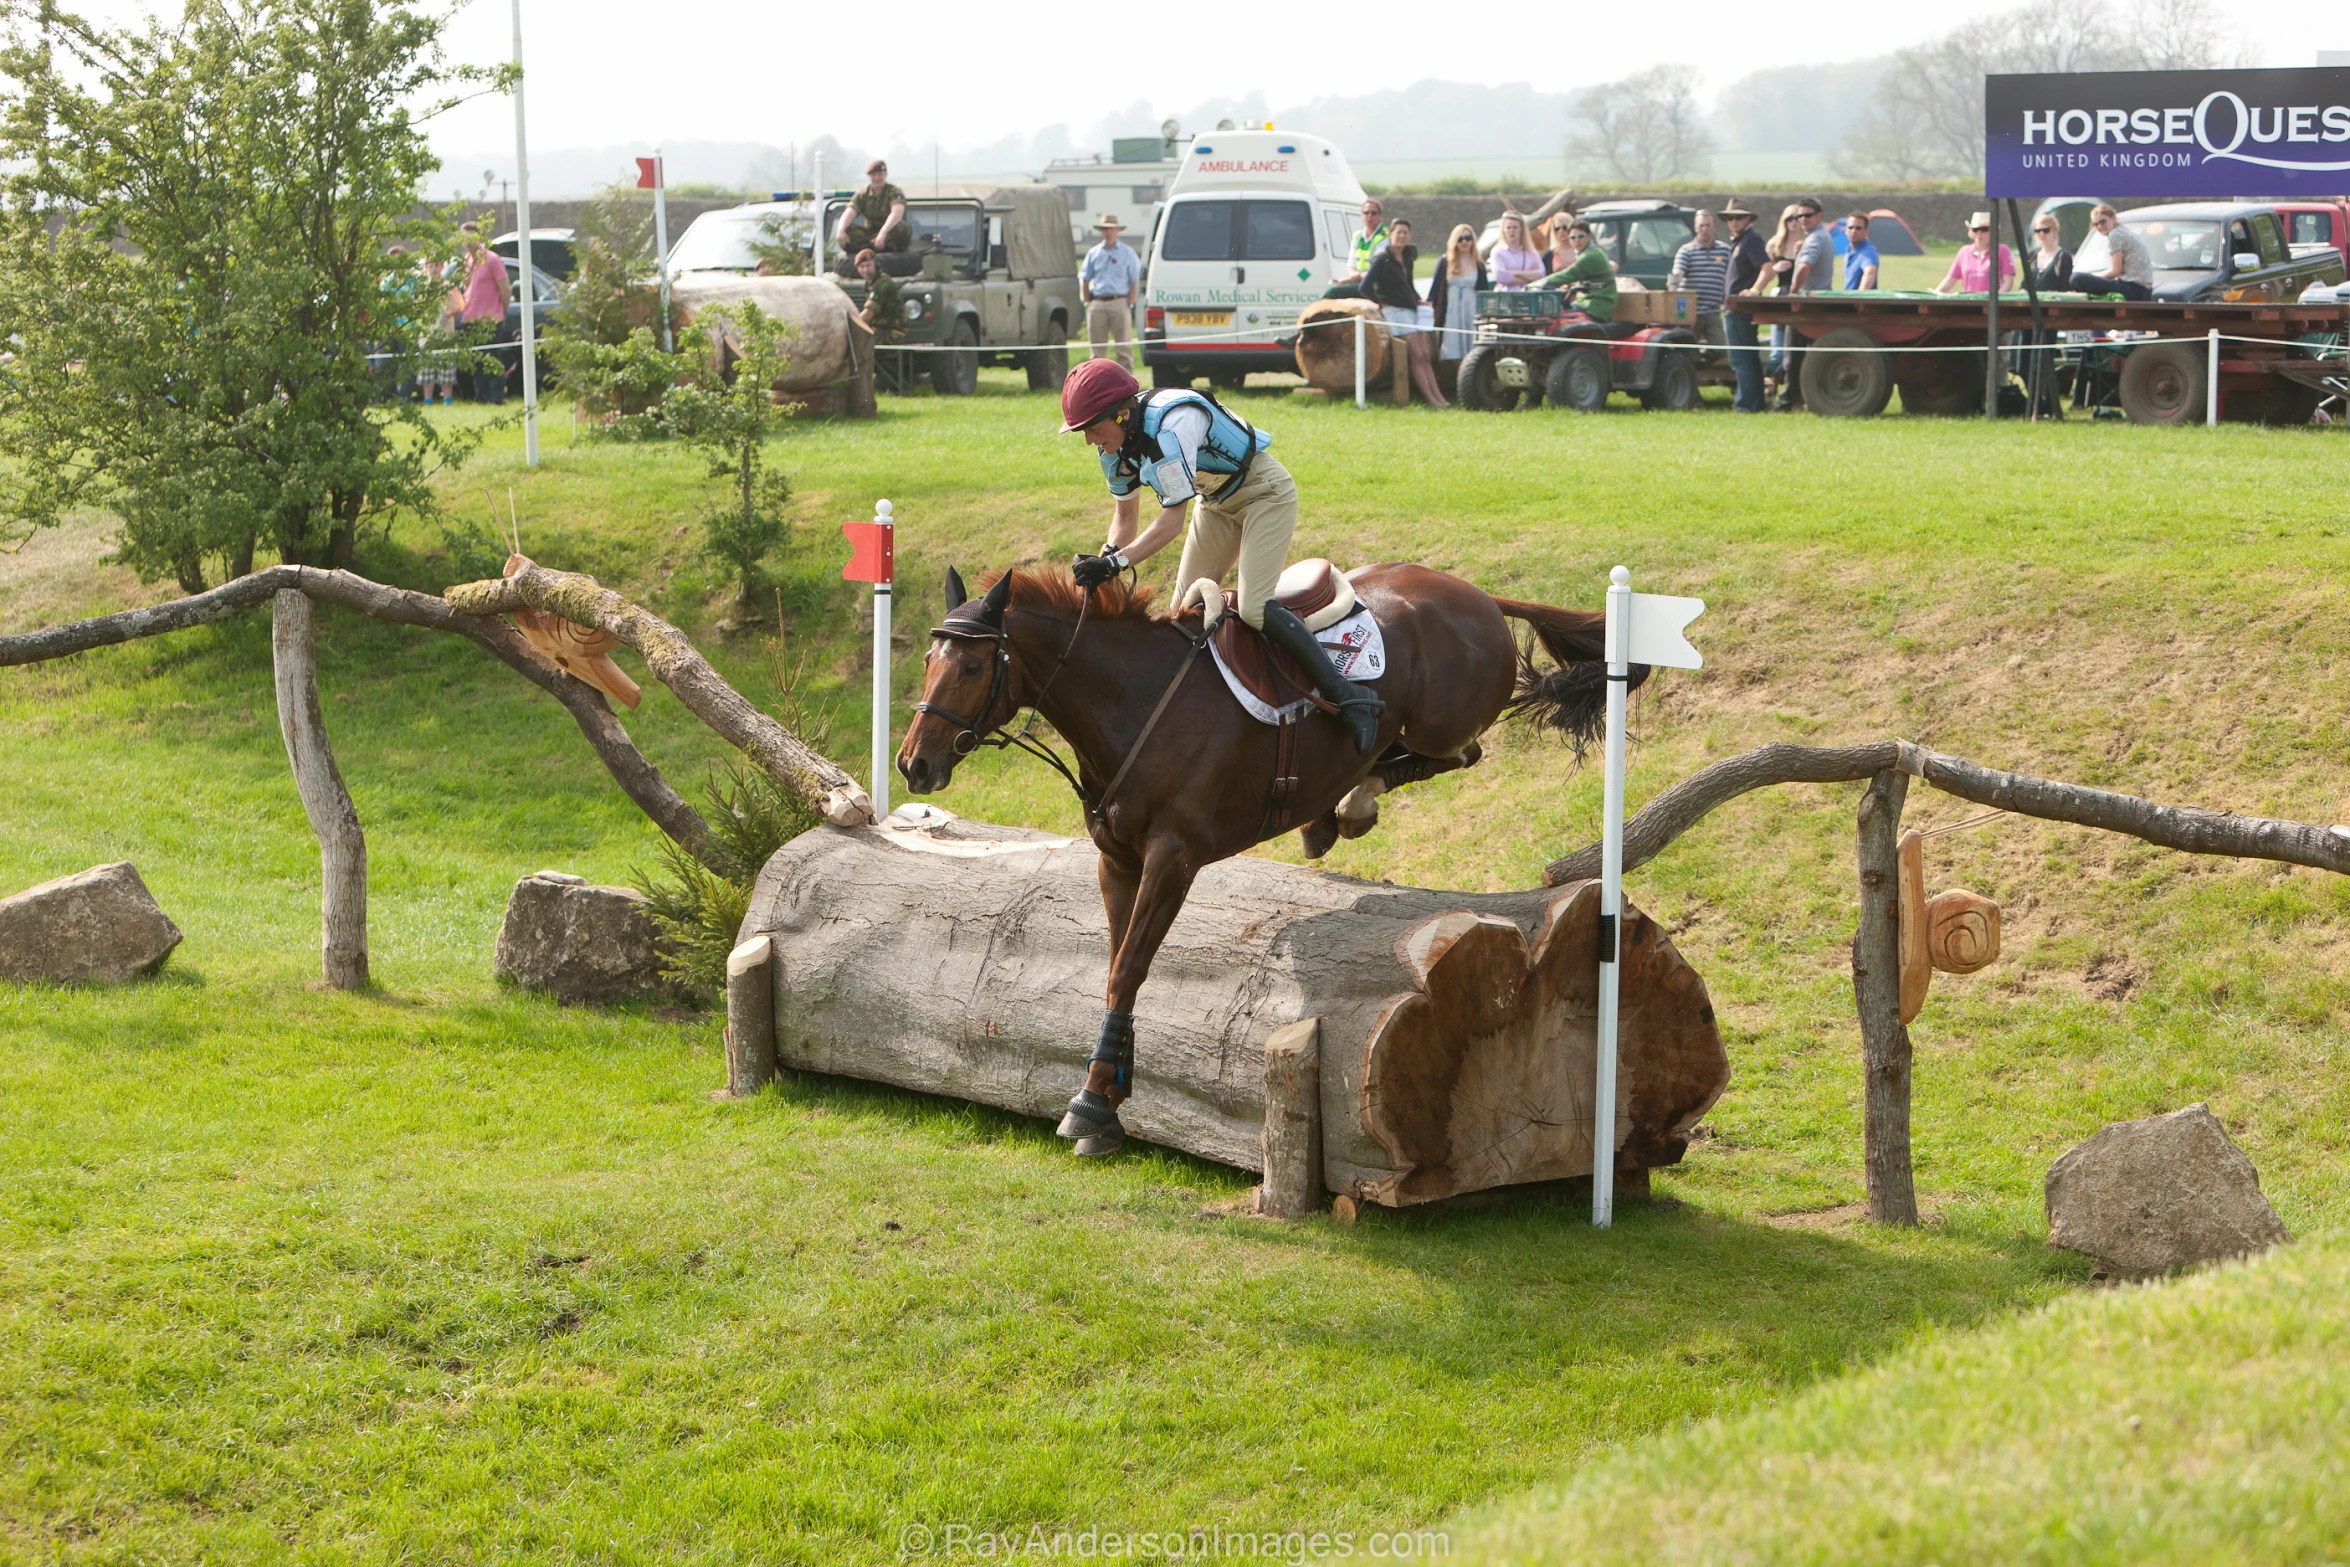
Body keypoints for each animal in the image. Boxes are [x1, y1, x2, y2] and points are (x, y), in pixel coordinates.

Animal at [888, 561, 1644, 1151]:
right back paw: (1336, 810)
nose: (913, 765)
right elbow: (1114, 969)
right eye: (927, 660)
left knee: (1458, 750)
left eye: (973, 664)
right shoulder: (1117, 859)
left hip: (1444, 716)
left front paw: (1092, 1105)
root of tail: (1477, 594)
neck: (1132, 702)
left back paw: (1352, 797)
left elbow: (1129, 968)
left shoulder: (1173, 857)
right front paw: (1111, 1091)